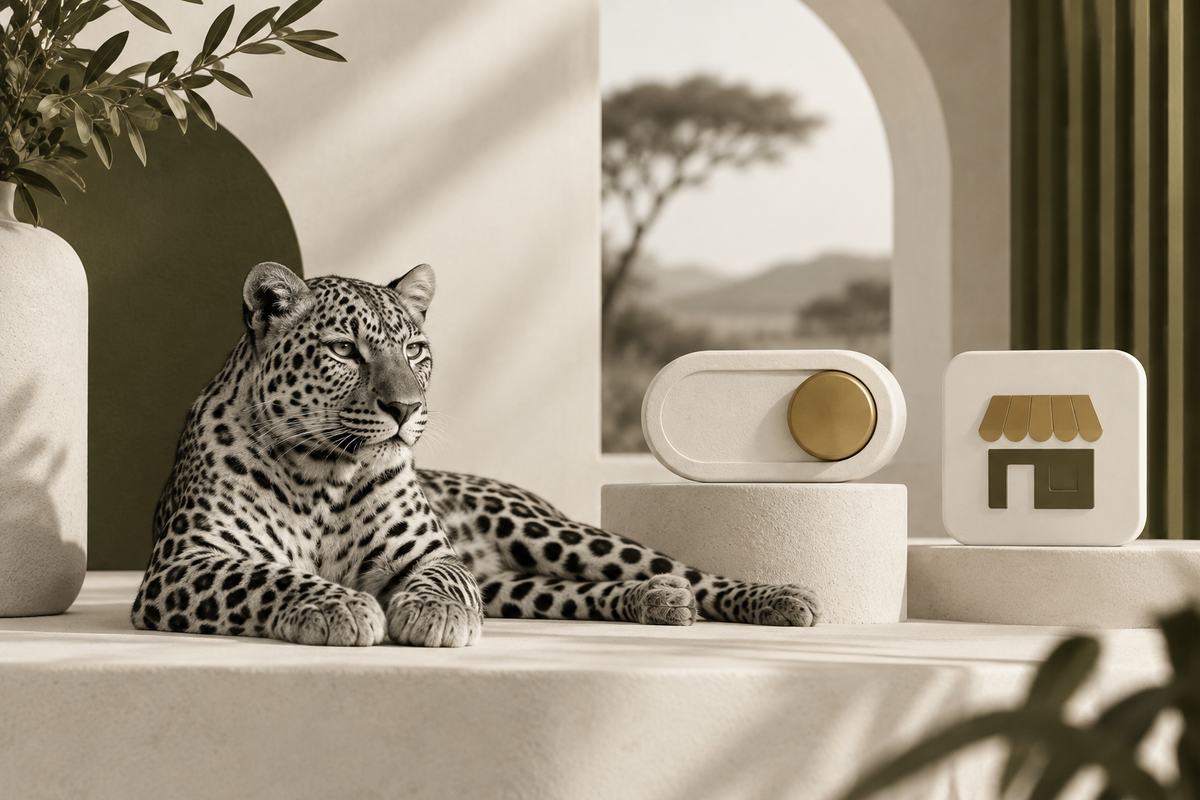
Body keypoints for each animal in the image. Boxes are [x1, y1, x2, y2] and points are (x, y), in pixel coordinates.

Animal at [130, 262, 822, 647]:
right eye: (345, 350)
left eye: (414, 350)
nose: (405, 408)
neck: (324, 473)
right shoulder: (184, 562)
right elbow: (268, 575)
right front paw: (342, 606)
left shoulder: (432, 554)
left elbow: (439, 578)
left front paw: (432, 614)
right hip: (513, 583)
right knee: (572, 590)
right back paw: (657, 600)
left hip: (549, 532)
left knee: (682, 568)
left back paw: (777, 598)